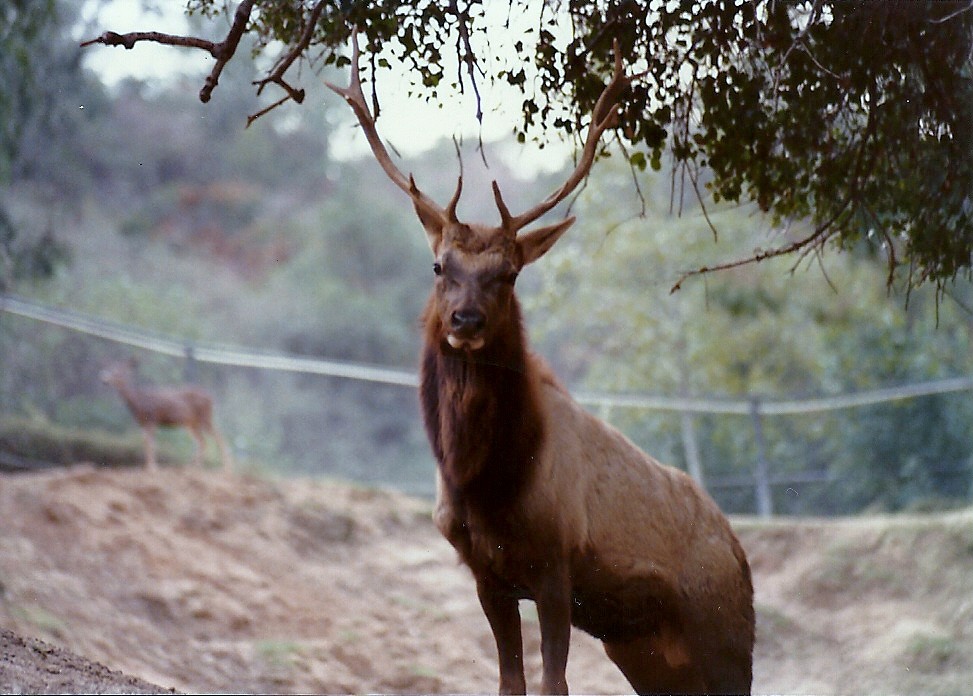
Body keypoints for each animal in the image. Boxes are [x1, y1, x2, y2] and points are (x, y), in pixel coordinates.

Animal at [100, 359, 233, 472]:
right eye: (109, 369)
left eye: (117, 373)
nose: (104, 379)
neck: (138, 402)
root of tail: (211, 398)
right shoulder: (143, 423)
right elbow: (145, 442)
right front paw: (148, 467)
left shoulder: (152, 418)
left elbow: (151, 443)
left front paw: (153, 468)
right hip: (191, 423)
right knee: (202, 441)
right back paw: (192, 467)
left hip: (205, 417)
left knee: (219, 437)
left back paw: (226, 469)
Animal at [327, 30, 755, 695]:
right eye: (439, 266)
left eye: (508, 274)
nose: (465, 322)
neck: (487, 485)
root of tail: (740, 556)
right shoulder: (486, 573)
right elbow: (510, 683)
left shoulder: (557, 564)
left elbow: (553, 684)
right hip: (648, 650)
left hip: (724, 632)